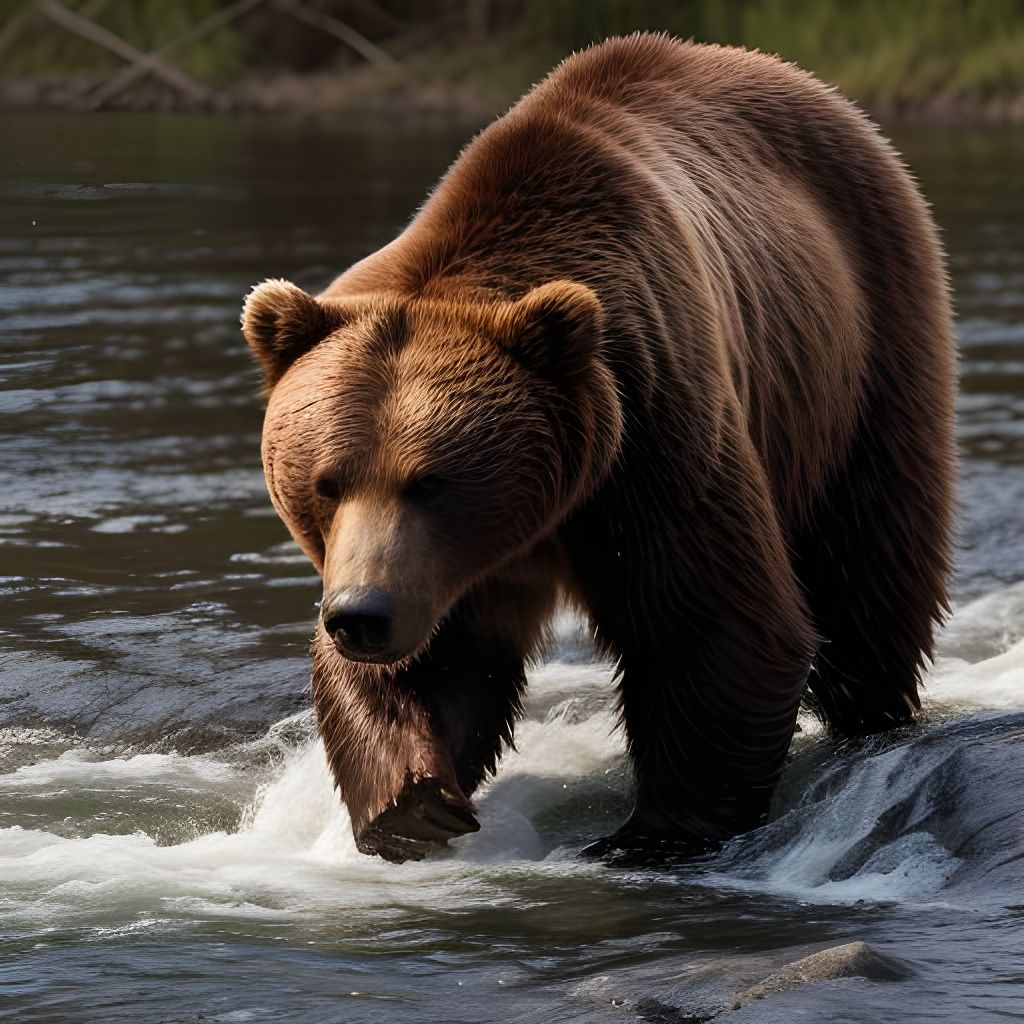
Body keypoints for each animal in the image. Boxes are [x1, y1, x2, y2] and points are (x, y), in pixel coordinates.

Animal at [241, 34, 956, 863]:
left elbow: (711, 624)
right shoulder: (442, 567)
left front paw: (651, 833)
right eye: (327, 482)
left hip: (863, 341)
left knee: (866, 561)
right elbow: (440, 658)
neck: (542, 518)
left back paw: (873, 718)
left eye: (431, 481)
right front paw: (415, 802)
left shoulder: (654, 433)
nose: (360, 615)